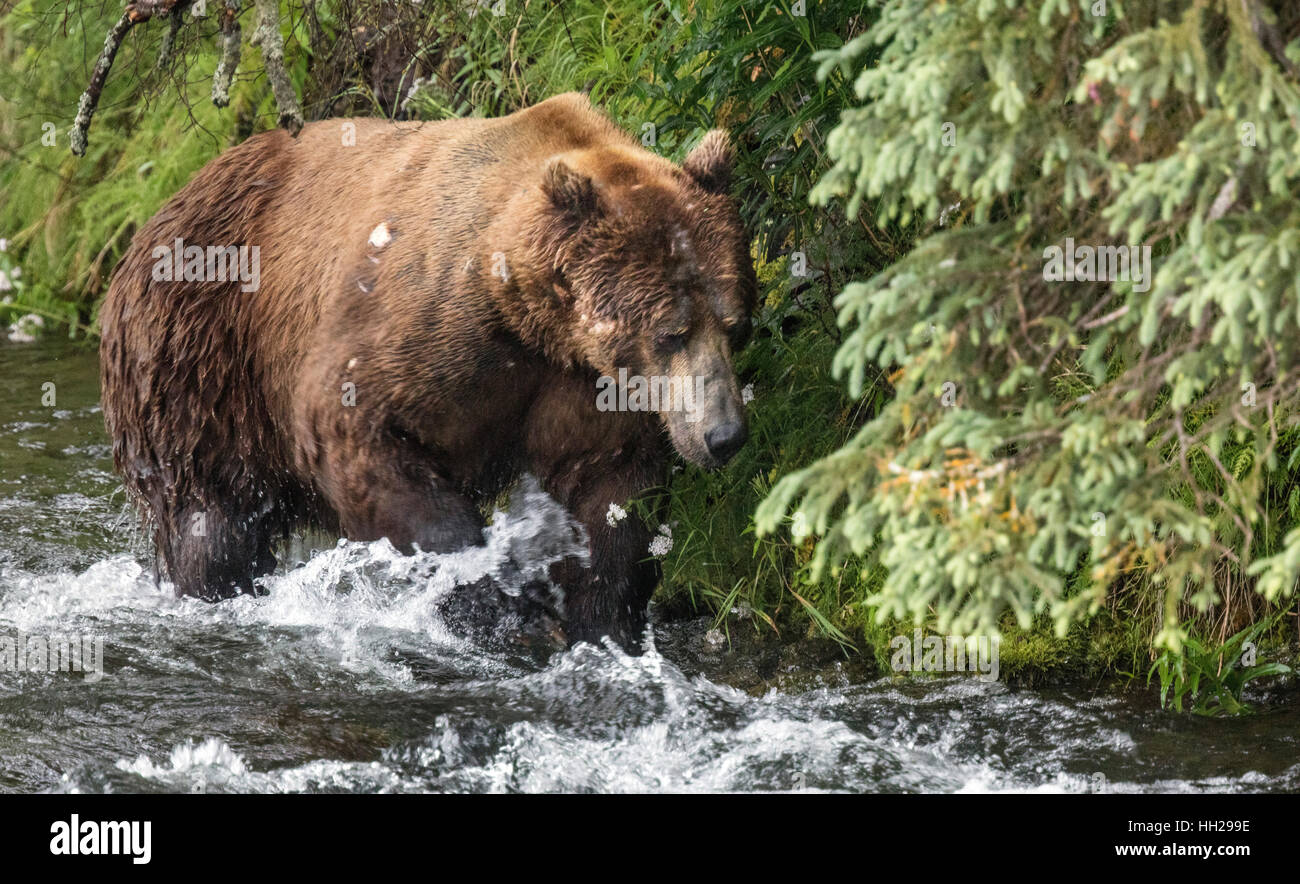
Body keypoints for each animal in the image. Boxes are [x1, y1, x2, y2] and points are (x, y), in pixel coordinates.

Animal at [99, 92, 757, 651]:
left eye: (736, 324)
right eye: (671, 331)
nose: (724, 435)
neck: (528, 317)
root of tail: (162, 206)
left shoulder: (586, 387)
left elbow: (609, 499)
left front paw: (603, 622)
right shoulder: (424, 327)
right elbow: (359, 433)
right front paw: (492, 602)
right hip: (198, 350)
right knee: (210, 517)